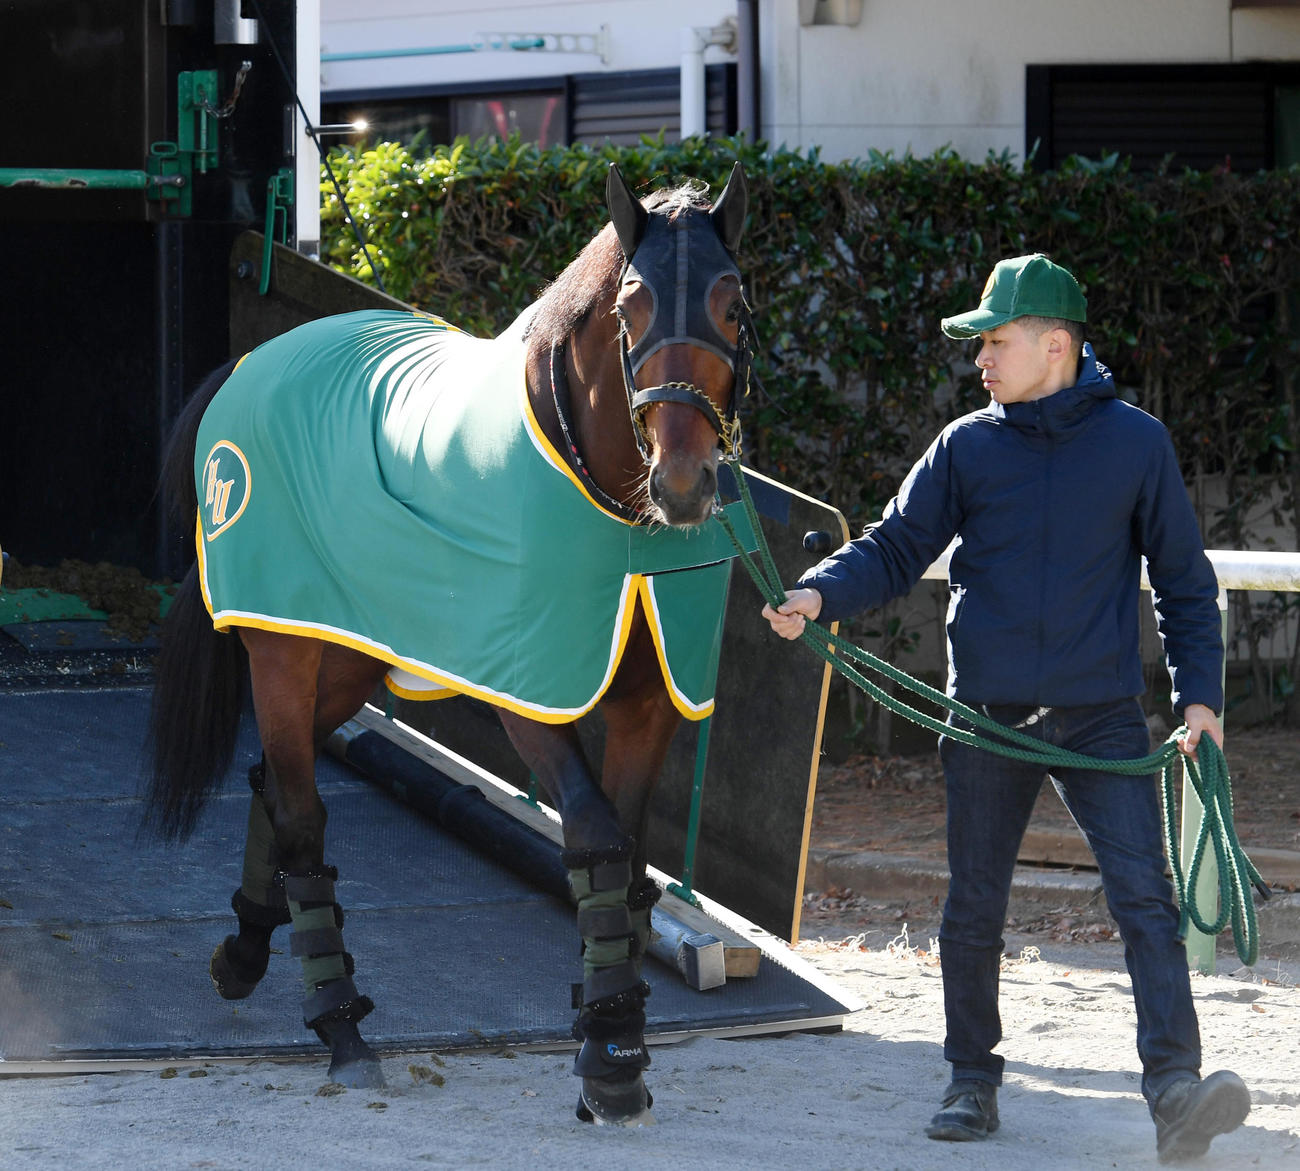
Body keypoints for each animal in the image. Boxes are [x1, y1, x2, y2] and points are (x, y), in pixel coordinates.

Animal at [146, 162, 752, 1126]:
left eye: (735, 303)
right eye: (633, 304)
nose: (686, 483)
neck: (600, 489)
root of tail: (252, 365)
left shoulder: (650, 704)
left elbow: (628, 855)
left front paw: (608, 1031)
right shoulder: (530, 694)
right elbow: (594, 837)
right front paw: (611, 1063)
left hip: (348, 651)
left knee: (276, 782)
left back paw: (247, 950)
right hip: (284, 653)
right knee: (303, 814)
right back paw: (340, 1027)